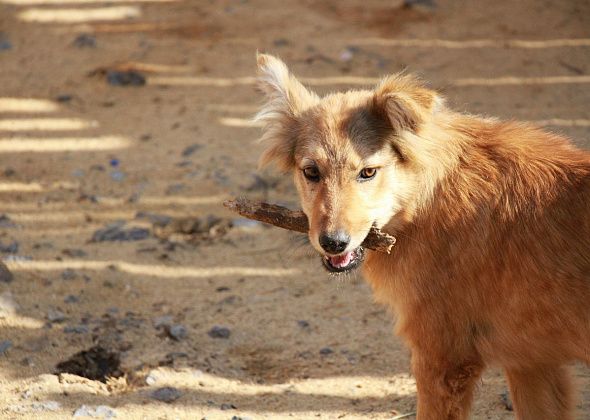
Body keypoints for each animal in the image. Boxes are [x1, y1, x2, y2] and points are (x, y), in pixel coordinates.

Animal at [256, 54, 590, 418]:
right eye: (311, 172)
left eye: (368, 172)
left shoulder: (443, 361)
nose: (333, 243)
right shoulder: (531, 362)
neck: (425, 201)